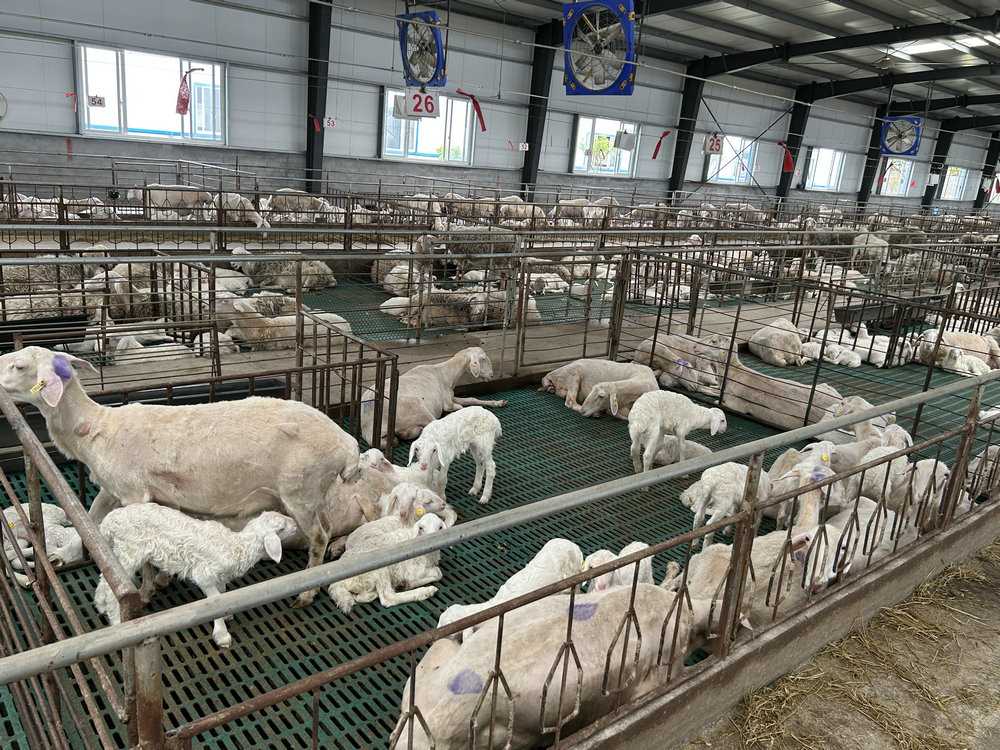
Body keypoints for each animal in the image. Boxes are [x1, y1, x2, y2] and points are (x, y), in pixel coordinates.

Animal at [0, 346, 362, 608]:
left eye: (18, 366)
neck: (93, 429)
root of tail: (348, 445)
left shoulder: (133, 493)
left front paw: (146, 590)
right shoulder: (113, 490)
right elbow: (91, 523)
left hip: (301, 489)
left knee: (318, 535)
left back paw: (307, 592)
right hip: (315, 492)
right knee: (328, 526)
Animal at [94, 506, 297, 646]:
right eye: (281, 528)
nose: (295, 524)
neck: (236, 547)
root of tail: (110, 520)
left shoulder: (220, 577)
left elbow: (223, 594)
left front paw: (227, 615)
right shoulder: (203, 574)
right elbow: (215, 600)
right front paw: (222, 635)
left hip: (119, 552)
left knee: (105, 579)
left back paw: (101, 606)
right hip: (130, 551)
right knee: (113, 589)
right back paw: (116, 621)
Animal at [362, 346, 506, 448]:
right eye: (483, 358)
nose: (491, 375)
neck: (446, 374)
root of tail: (367, 427)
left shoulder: (450, 397)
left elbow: (471, 399)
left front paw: (499, 402)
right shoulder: (447, 403)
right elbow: (459, 407)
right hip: (418, 405)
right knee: (435, 423)